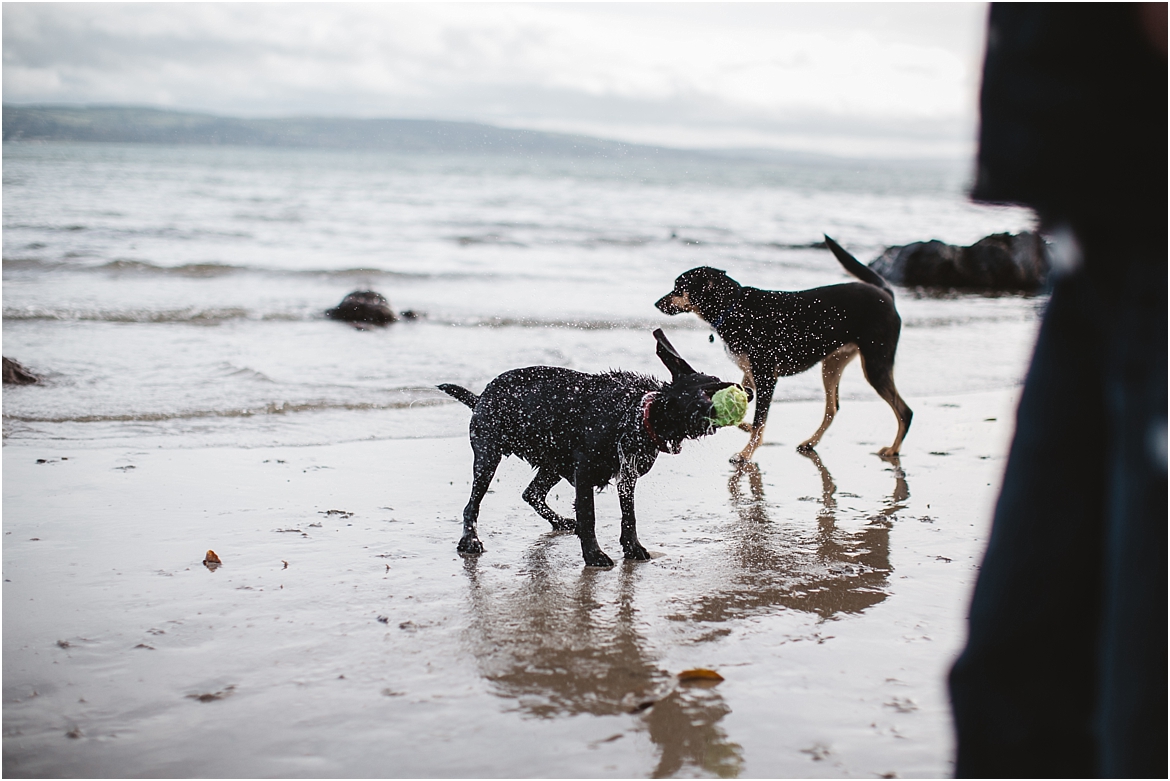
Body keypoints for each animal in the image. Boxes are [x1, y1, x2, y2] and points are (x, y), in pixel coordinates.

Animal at [439, 329, 739, 568]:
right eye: (710, 387)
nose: (744, 388)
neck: (635, 414)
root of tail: (481, 397)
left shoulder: (626, 475)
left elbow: (629, 516)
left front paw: (632, 547)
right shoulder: (584, 472)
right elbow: (588, 516)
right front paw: (594, 555)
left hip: (553, 463)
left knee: (531, 493)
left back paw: (561, 522)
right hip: (488, 457)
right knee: (472, 505)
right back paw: (470, 540)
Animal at [655, 235, 907, 460]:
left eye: (678, 288)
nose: (657, 303)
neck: (734, 307)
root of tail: (887, 294)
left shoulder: (766, 377)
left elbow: (760, 419)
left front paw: (746, 453)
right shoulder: (751, 373)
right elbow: (747, 407)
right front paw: (744, 426)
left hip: (875, 364)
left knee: (905, 412)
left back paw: (893, 450)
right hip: (832, 364)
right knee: (832, 408)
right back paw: (810, 442)